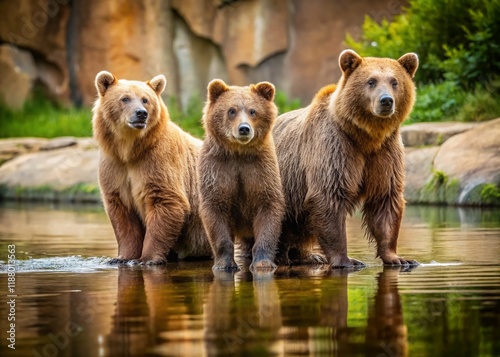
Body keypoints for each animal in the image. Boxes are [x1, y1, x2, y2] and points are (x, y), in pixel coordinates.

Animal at [92, 70, 211, 264]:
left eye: (145, 99)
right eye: (125, 98)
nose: (141, 113)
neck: (130, 151)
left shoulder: (157, 161)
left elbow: (166, 201)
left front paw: (147, 258)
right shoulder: (114, 166)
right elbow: (122, 213)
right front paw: (123, 257)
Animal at [199, 78, 286, 270]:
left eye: (253, 111)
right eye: (232, 110)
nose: (244, 128)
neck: (238, 152)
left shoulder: (260, 170)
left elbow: (267, 207)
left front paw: (263, 262)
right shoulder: (218, 169)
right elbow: (215, 212)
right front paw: (223, 264)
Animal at [274, 50, 418, 268]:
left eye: (394, 82)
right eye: (371, 81)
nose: (386, 101)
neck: (366, 137)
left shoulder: (384, 154)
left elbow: (385, 200)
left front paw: (399, 258)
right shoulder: (335, 147)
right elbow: (329, 196)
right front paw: (347, 259)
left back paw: (309, 256)